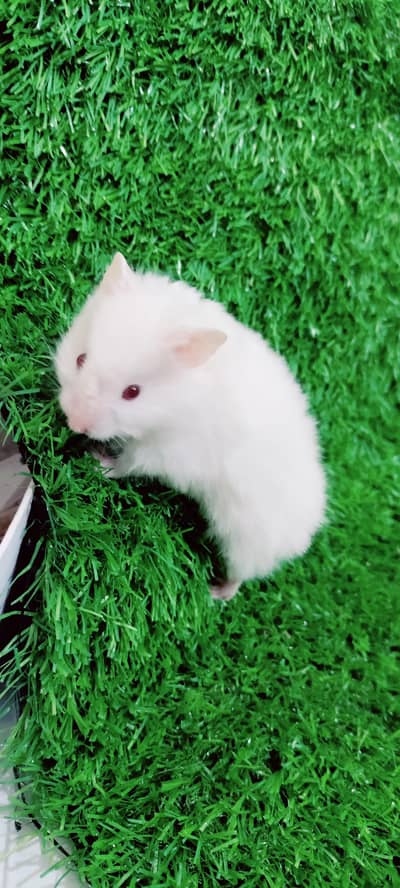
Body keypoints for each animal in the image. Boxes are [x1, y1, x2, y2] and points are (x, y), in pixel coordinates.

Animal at [55, 252, 326, 600]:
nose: (74, 423)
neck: (177, 406)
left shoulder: (166, 455)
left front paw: (96, 461)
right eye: (80, 359)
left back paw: (215, 592)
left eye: (133, 392)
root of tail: (307, 531)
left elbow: (127, 465)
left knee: (242, 575)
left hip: (245, 541)